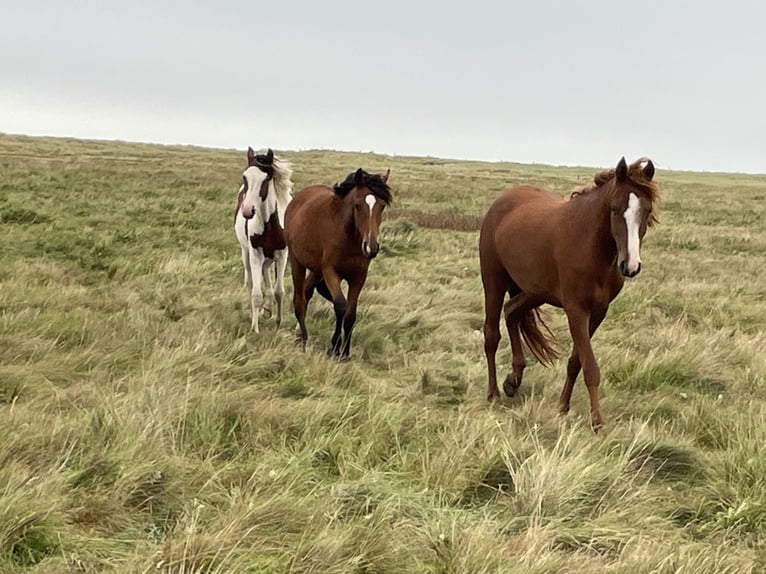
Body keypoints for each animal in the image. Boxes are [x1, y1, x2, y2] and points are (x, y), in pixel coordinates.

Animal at [234, 147, 294, 333]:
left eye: (266, 179)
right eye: (245, 177)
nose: (247, 210)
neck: (269, 225)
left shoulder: (282, 255)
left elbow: (279, 291)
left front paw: (278, 322)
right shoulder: (255, 254)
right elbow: (256, 293)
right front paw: (255, 328)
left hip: (269, 256)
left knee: (266, 275)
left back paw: (267, 309)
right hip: (246, 253)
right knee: (251, 282)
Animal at [284, 167, 392, 358]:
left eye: (382, 205)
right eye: (357, 205)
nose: (371, 247)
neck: (348, 236)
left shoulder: (358, 277)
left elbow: (350, 314)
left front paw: (345, 352)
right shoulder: (330, 272)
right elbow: (340, 306)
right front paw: (334, 346)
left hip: (316, 269)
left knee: (307, 292)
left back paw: (299, 334)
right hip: (298, 262)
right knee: (299, 301)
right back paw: (303, 339)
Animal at [479, 157, 659, 430]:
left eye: (646, 211)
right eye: (615, 209)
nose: (630, 266)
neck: (592, 248)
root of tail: (502, 201)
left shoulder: (598, 312)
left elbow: (576, 362)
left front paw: (563, 406)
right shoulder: (576, 311)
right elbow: (591, 367)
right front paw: (597, 422)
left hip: (534, 291)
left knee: (512, 314)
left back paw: (513, 380)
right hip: (494, 283)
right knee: (491, 335)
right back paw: (493, 393)